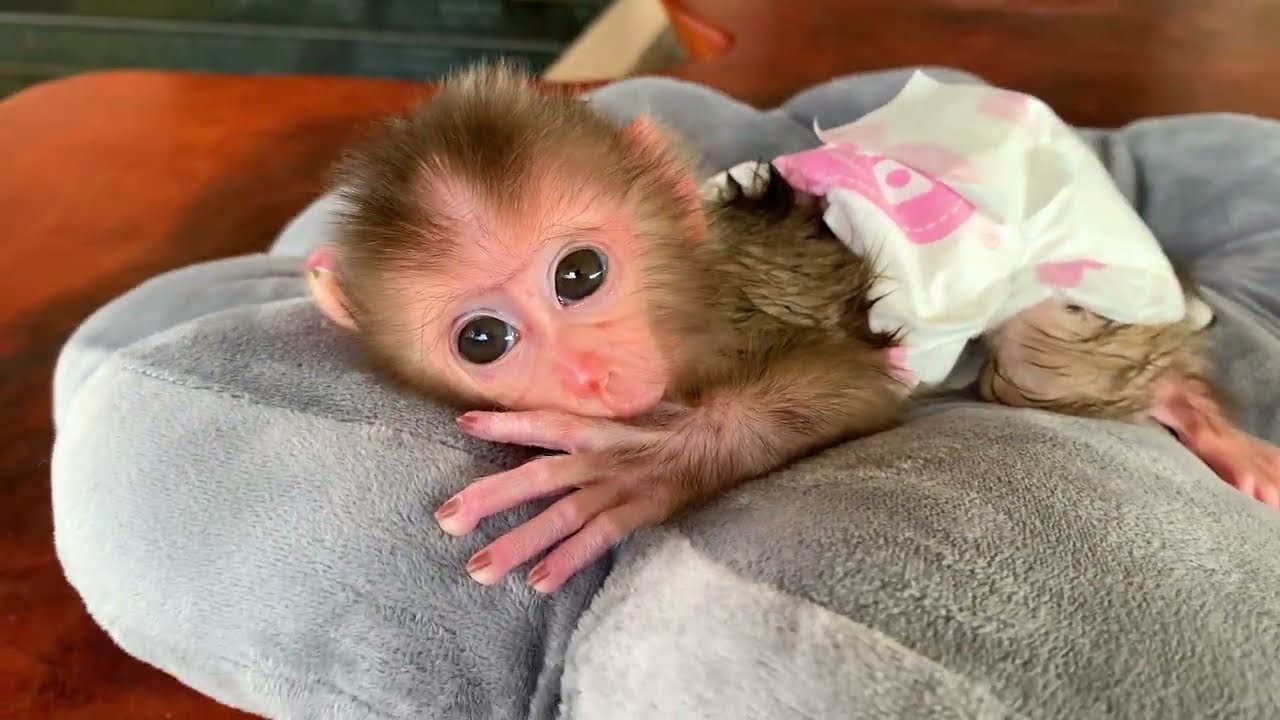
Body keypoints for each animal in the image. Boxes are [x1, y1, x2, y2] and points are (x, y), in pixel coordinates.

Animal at [303, 63, 1280, 594]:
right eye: (483, 340)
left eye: (579, 275)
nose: (587, 376)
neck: (689, 296)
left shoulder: (760, 300)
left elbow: (853, 384)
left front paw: (651, 463)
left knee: (1043, 362)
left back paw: (1197, 412)